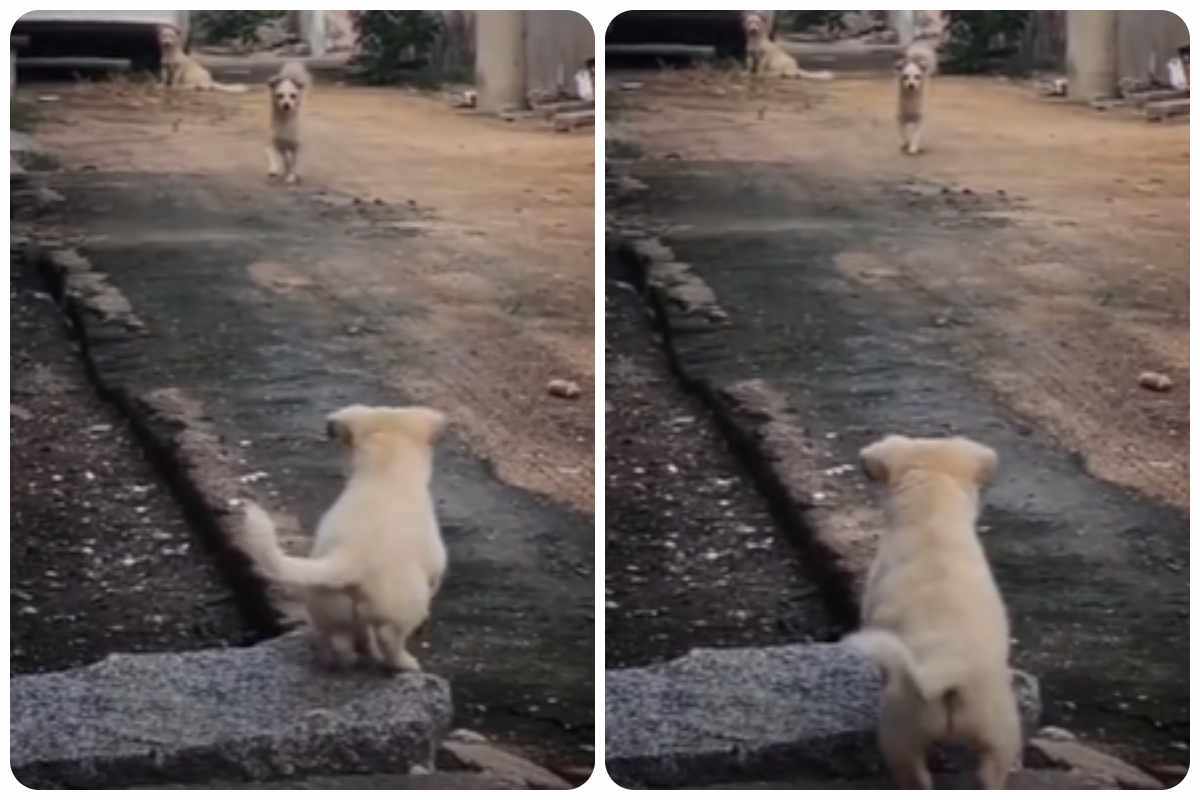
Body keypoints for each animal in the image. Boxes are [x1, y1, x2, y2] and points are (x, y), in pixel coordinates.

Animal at [234, 402, 451, 671]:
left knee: (341, 642)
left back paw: (343, 659)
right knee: (389, 638)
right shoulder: (434, 566)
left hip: (331, 610)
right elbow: (434, 583)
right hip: (398, 607)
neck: (385, 472)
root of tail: (348, 558)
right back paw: (403, 663)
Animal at [844, 434, 1022, 791]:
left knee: (914, 776)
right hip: (1000, 730)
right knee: (991, 774)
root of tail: (947, 673)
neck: (932, 515)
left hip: (900, 730)